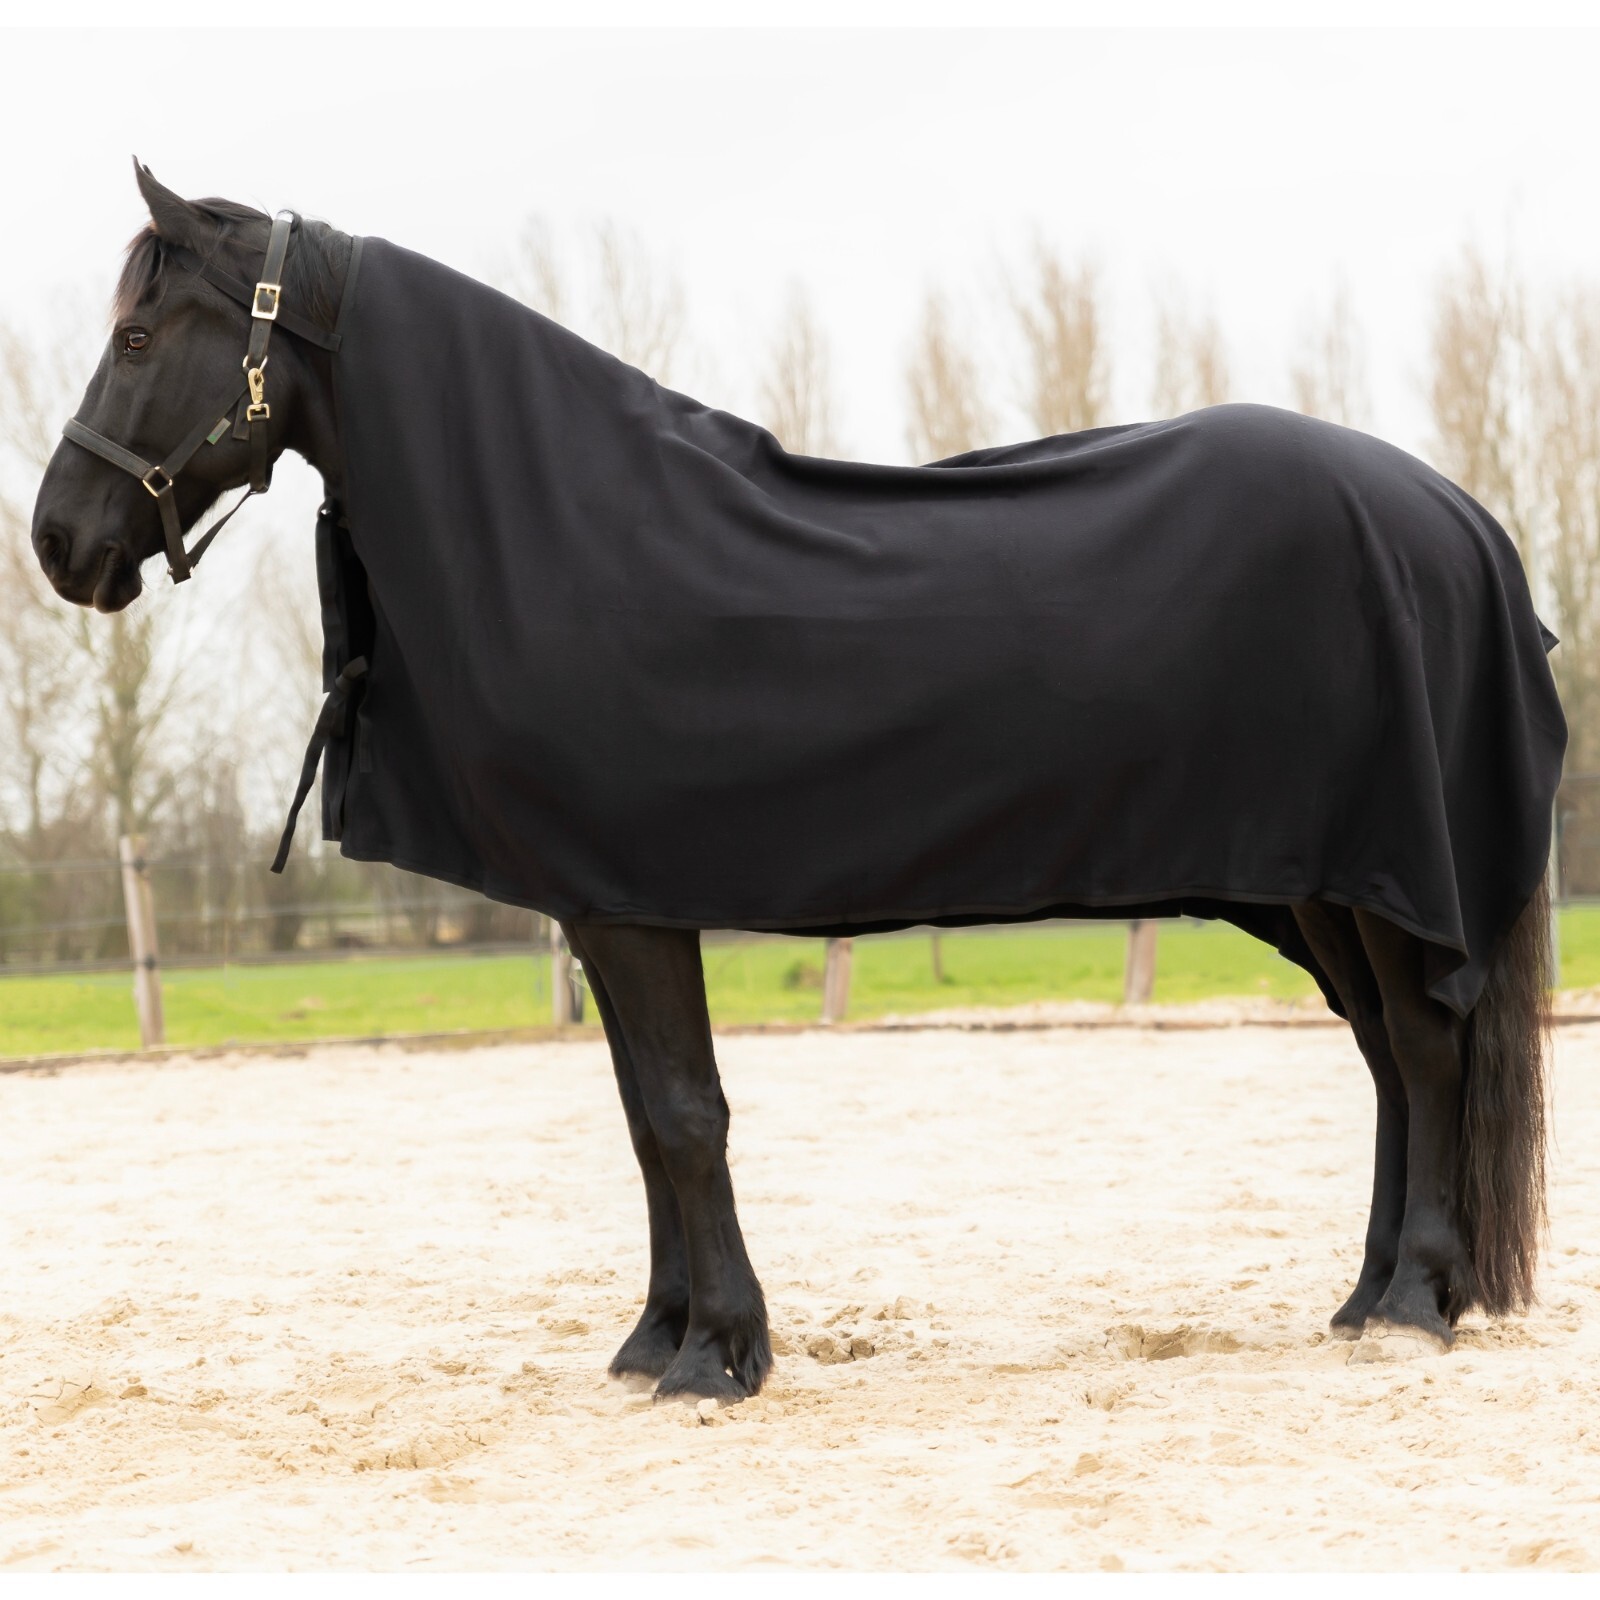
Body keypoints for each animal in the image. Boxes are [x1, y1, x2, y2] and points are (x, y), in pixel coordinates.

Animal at [31, 163, 1561, 1403]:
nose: (58, 541)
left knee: (1424, 1048)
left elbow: (683, 1115)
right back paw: (1364, 1300)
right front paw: (657, 1338)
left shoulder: (635, 904)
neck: (571, 528)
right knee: (1388, 1056)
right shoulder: (599, 905)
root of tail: (1449, 513)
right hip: (1319, 884)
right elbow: (644, 1123)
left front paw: (717, 1356)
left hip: (1378, 871)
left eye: (136, 336)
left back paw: (1413, 1304)